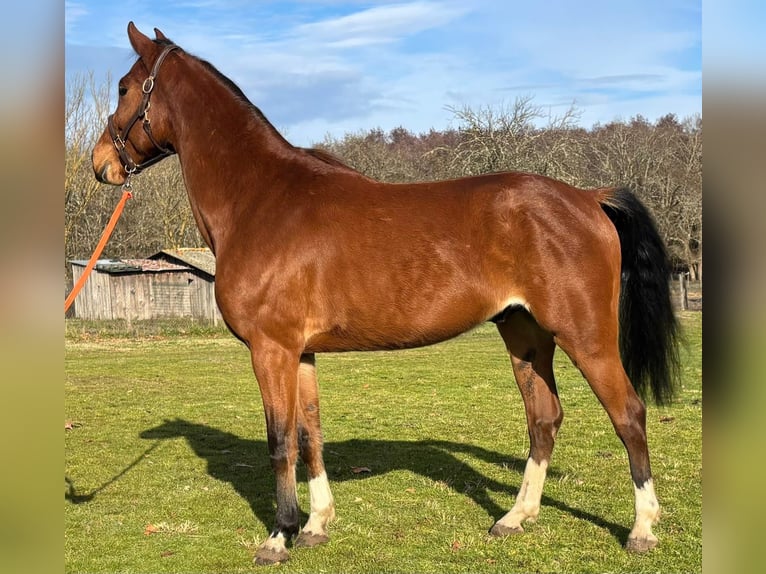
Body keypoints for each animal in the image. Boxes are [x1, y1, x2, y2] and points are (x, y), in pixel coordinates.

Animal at [92, 23, 680, 566]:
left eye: (123, 87)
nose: (101, 164)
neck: (260, 198)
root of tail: (587, 196)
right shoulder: (300, 353)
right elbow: (310, 434)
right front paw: (316, 525)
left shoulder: (271, 349)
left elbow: (279, 441)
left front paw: (279, 536)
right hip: (525, 335)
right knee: (544, 419)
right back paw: (515, 517)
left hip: (587, 337)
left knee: (629, 414)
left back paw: (642, 529)